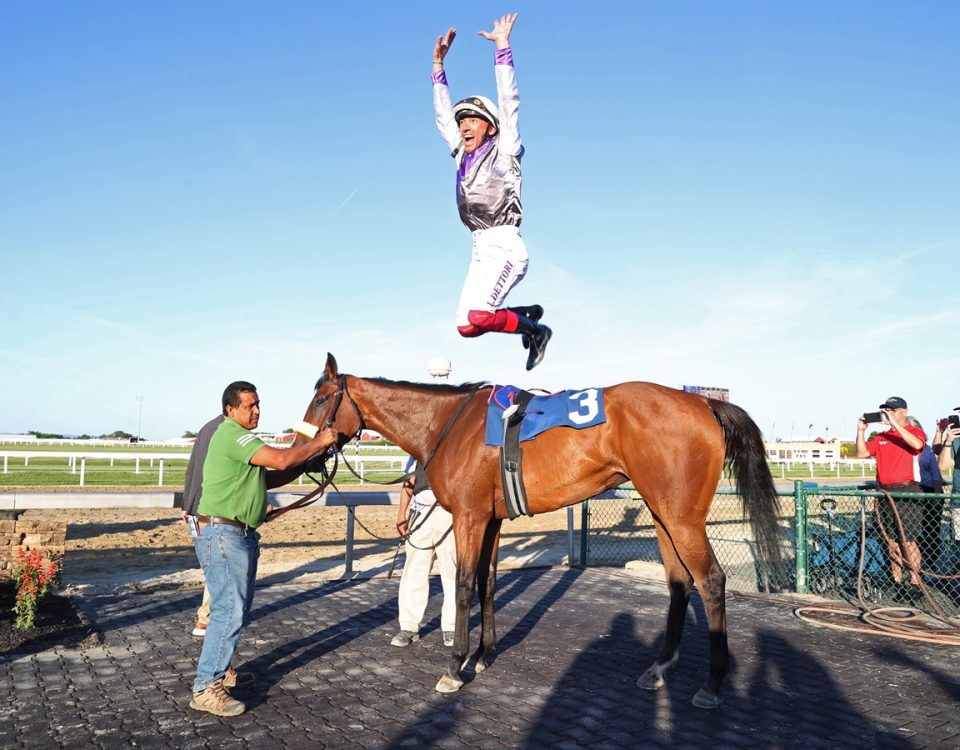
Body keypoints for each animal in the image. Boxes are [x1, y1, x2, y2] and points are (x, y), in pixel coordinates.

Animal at [304, 356, 784, 708]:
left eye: (324, 397)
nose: (303, 446)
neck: (450, 425)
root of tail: (704, 404)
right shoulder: (491, 519)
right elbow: (488, 582)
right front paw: (484, 655)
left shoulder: (469, 516)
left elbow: (462, 585)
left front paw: (455, 667)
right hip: (663, 513)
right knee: (680, 583)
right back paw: (659, 668)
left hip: (682, 516)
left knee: (711, 581)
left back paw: (712, 684)